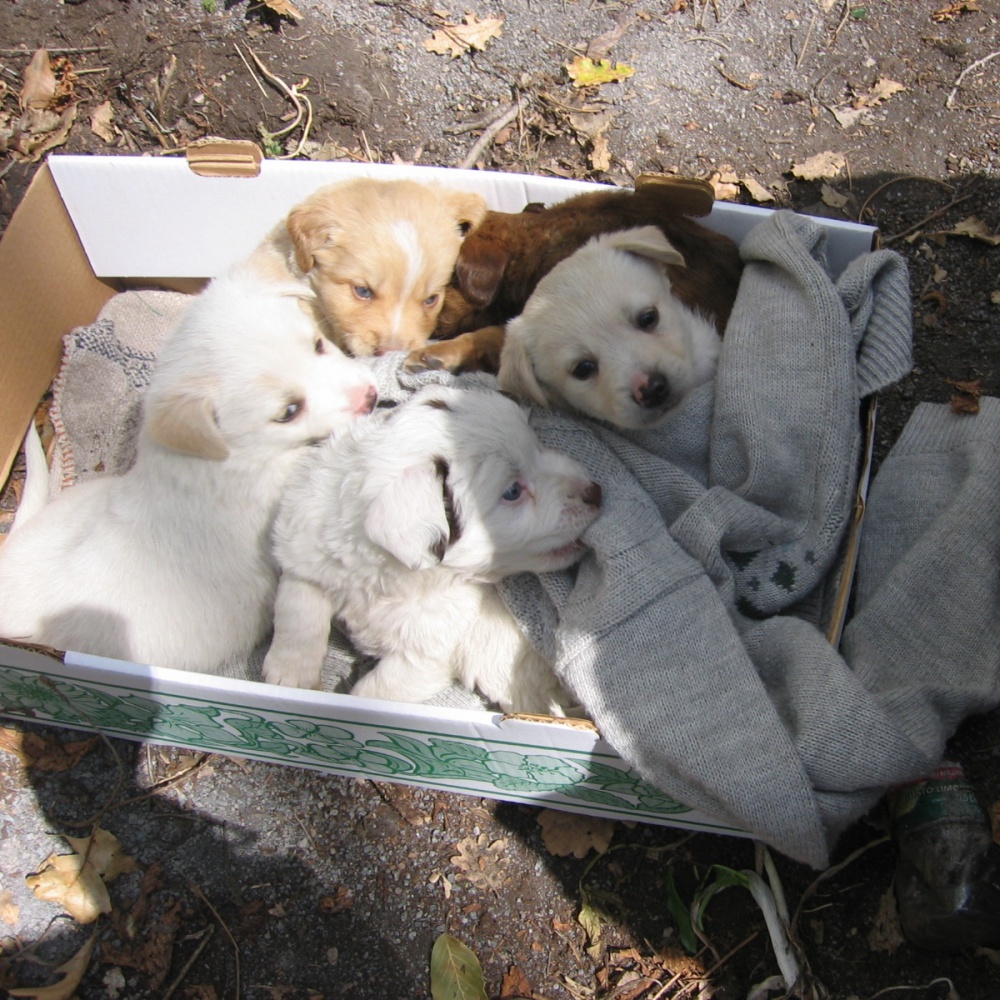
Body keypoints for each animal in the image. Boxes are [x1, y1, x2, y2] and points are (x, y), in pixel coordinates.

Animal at [262, 380, 600, 712]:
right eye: (513, 491)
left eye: (537, 445)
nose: (596, 492)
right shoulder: (307, 546)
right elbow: (298, 604)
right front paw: (289, 675)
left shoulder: (427, 652)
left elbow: (373, 691)